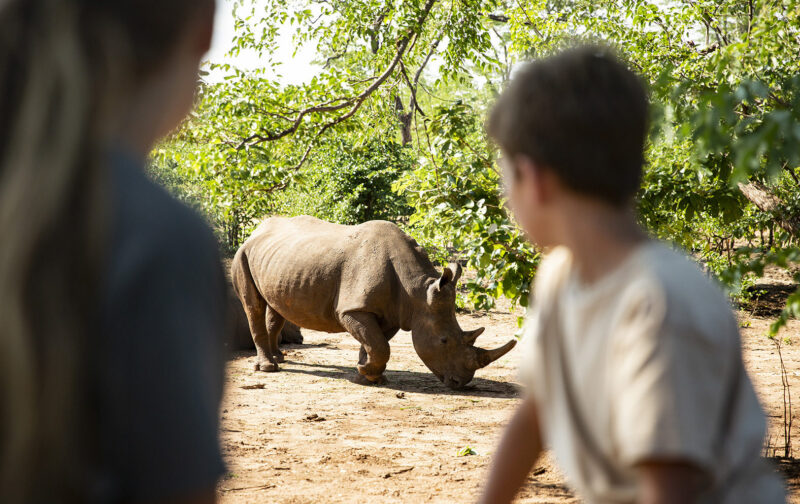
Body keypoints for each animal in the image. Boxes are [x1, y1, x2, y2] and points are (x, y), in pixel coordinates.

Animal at [230, 216, 516, 389]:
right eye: (444, 341)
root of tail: (256, 231)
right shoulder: (353, 309)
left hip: (278, 258)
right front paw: (367, 372)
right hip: (242, 254)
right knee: (254, 307)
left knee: (276, 306)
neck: (417, 293)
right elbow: (379, 345)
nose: (461, 382)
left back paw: (280, 357)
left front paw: (367, 375)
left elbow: (375, 343)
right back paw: (268, 368)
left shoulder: (393, 312)